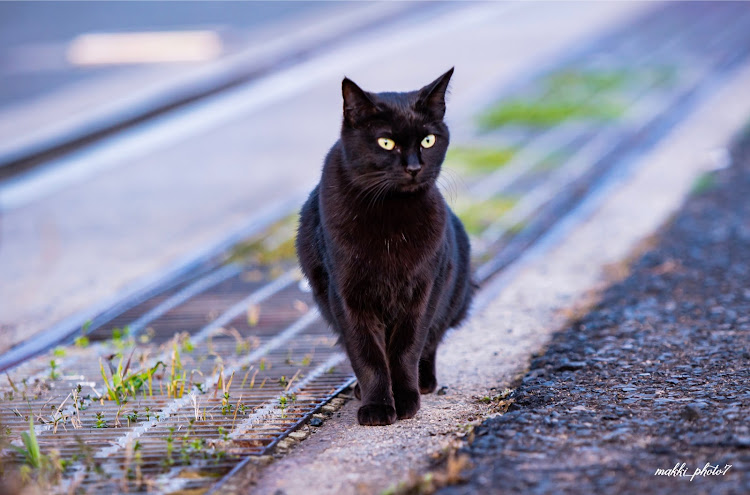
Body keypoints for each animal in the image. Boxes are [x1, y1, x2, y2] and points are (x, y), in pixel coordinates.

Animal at [296, 69, 472, 426]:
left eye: (428, 140)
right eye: (386, 142)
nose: (414, 167)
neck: (391, 214)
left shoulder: (423, 290)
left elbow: (406, 349)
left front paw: (405, 399)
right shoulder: (346, 296)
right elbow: (368, 355)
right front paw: (377, 406)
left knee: (430, 344)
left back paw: (425, 382)